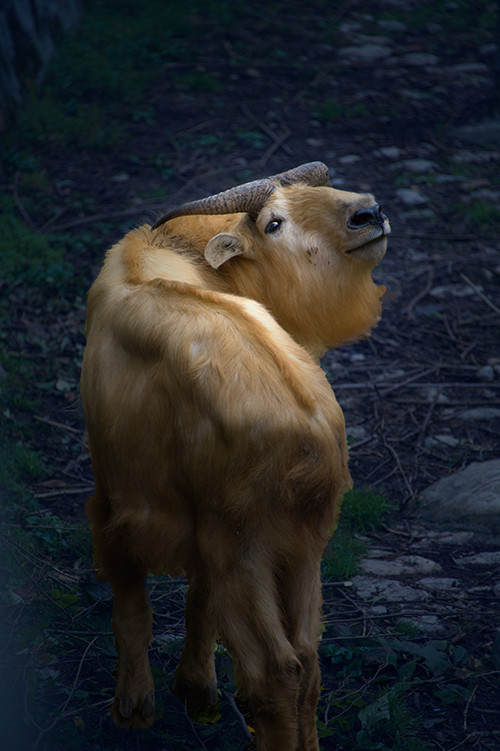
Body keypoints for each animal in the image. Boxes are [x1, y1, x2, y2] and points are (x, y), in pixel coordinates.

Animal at [80, 162, 388, 748]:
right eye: (273, 222)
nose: (370, 213)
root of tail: (307, 431)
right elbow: (198, 602)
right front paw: (197, 691)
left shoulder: (113, 494)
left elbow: (132, 605)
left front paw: (134, 705)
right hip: (301, 546)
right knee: (308, 662)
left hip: (242, 549)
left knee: (276, 670)